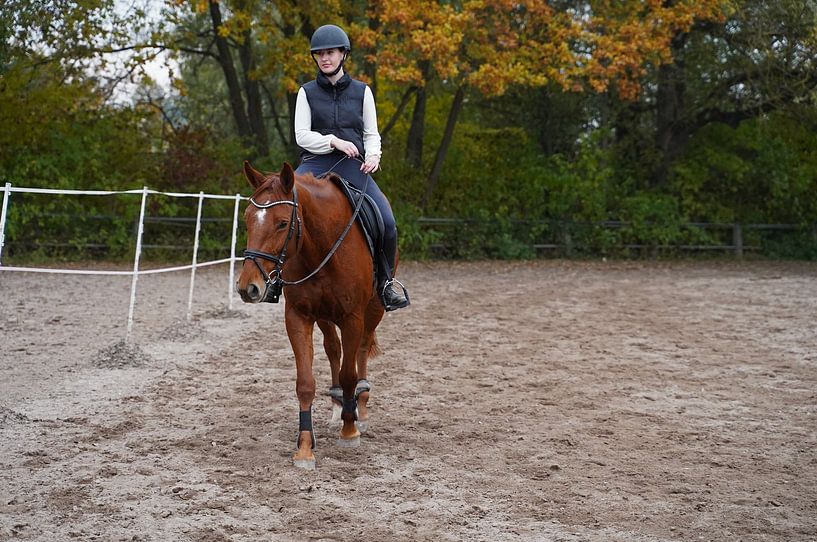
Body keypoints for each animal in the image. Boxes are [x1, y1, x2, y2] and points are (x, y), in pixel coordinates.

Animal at [235, 161, 387, 469]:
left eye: (282, 223)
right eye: (247, 219)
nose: (248, 288)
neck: (321, 246)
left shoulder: (353, 317)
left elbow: (350, 373)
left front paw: (350, 431)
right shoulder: (298, 317)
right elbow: (305, 383)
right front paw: (305, 447)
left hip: (373, 309)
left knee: (362, 349)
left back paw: (360, 407)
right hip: (325, 317)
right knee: (333, 349)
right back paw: (339, 406)